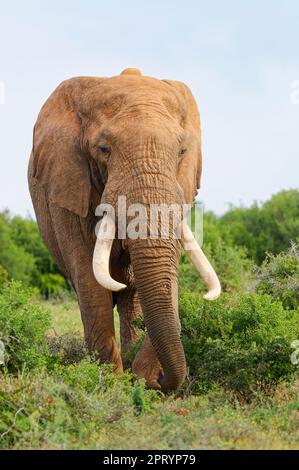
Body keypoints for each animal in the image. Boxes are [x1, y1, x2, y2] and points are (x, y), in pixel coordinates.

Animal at [28, 66, 220, 390]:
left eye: (182, 150)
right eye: (103, 149)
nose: (159, 380)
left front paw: (138, 379)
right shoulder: (68, 185)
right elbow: (89, 279)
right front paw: (110, 382)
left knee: (131, 299)